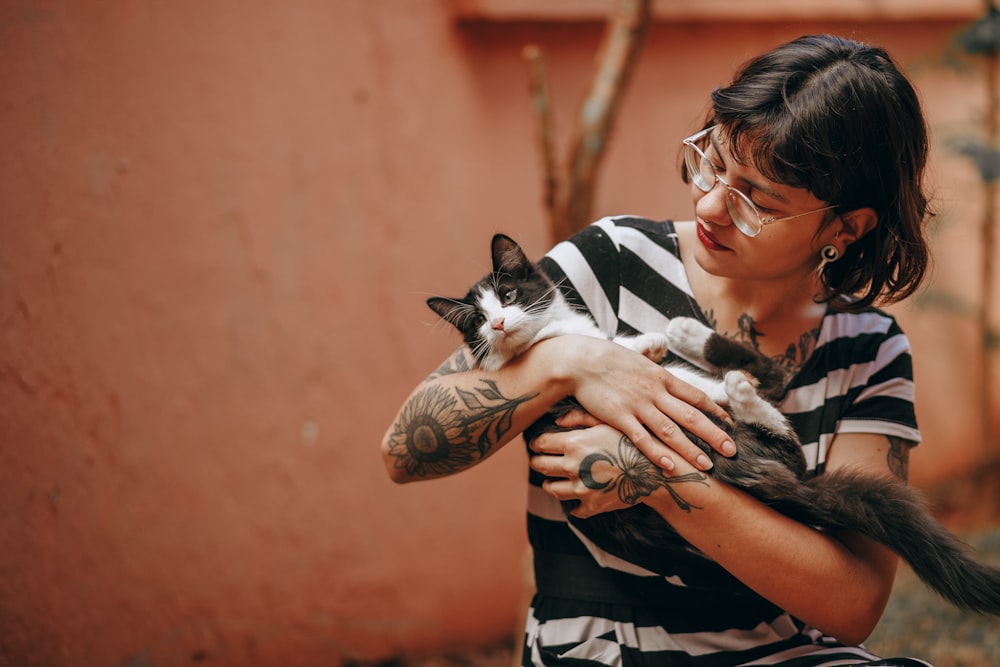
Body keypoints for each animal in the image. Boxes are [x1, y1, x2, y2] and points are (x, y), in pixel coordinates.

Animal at [426, 231, 1000, 616]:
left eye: (509, 296)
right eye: (477, 323)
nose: (499, 324)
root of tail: (783, 487)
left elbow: (607, 341)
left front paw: (644, 341)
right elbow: (586, 351)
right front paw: (633, 346)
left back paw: (691, 342)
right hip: (735, 437)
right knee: (779, 421)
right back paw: (731, 383)